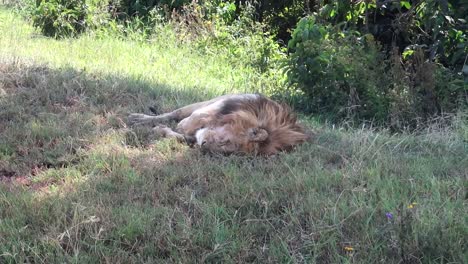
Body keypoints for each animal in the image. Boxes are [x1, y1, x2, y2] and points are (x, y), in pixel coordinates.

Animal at [128, 94, 310, 155]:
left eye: (225, 150)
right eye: (226, 142)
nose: (203, 146)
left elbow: (180, 136)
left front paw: (161, 130)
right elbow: (177, 115)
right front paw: (140, 120)